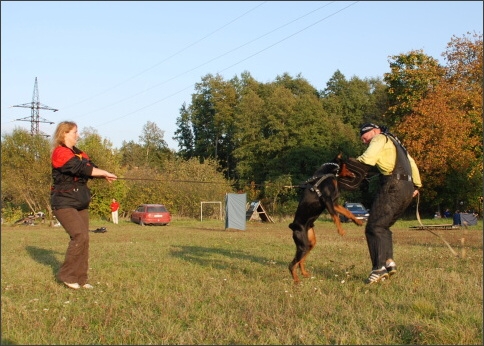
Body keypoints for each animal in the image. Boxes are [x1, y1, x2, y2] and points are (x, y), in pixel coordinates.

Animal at [288, 154, 364, 284]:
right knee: (292, 265)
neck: (328, 173)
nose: (354, 174)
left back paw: (304, 274)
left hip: (310, 242)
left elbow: (348, 212)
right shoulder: (327, 200)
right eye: (347, 166)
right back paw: (297, 280)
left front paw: (358, 221)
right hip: (302, 245)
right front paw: (341, 231)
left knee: (300, 261)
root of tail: (293, 226)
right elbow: (335, 216)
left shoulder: (334, 202)